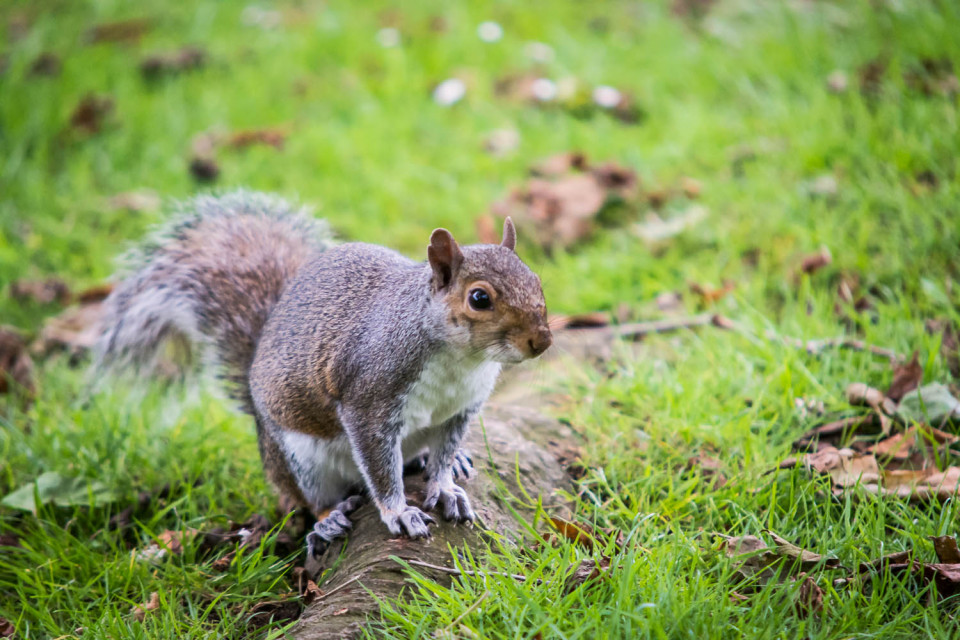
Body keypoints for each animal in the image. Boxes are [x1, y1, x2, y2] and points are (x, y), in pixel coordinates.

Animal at [95, 190, 552, 552]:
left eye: (537, 281)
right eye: (479, 298)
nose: (542, 340)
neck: (461, 360)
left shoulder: (460, 410)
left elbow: (442, 454)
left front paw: (444, 485)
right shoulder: (369, 400)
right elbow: (380, 468)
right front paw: (398, 512)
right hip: (300, 460)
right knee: (310, 500)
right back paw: (328, 518)